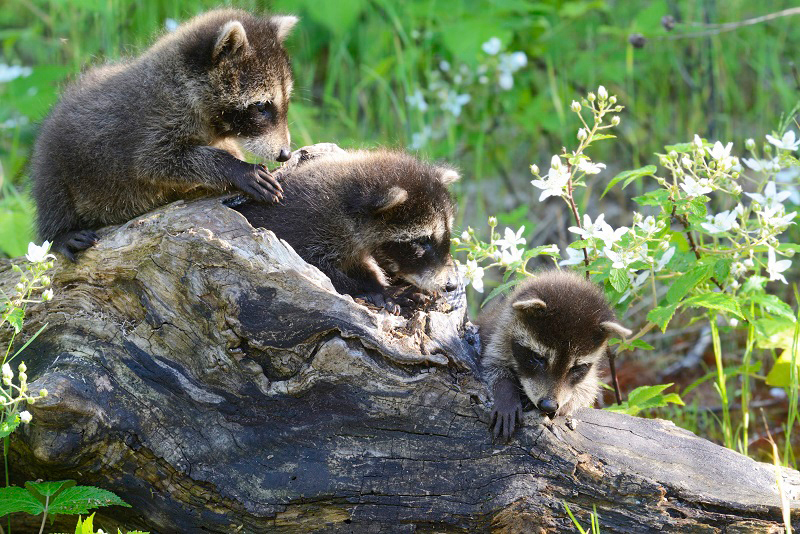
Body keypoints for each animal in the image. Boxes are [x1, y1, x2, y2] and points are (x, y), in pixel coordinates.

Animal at [30, 9, 298, 261]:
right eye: (261, 107)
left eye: (284, 102)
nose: (285, 154)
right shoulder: (158, 119)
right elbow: (156, 163)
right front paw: (235, 168)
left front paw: (233, 157)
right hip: (55, 162)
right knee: (52, 196)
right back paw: (60, 232)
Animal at [234, 148, 460, 312]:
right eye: (421, 241)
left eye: (447, 234)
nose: (452, 286)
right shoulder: (304, 230)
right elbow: (320, 270)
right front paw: (377, 288)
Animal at [477, 271, 631, 440]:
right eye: (538, 358)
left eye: (576, 368)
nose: (548, 405)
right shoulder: (499, 333)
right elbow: (492, 365)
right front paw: (507, 393)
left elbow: (587, 389)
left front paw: (566, 404)